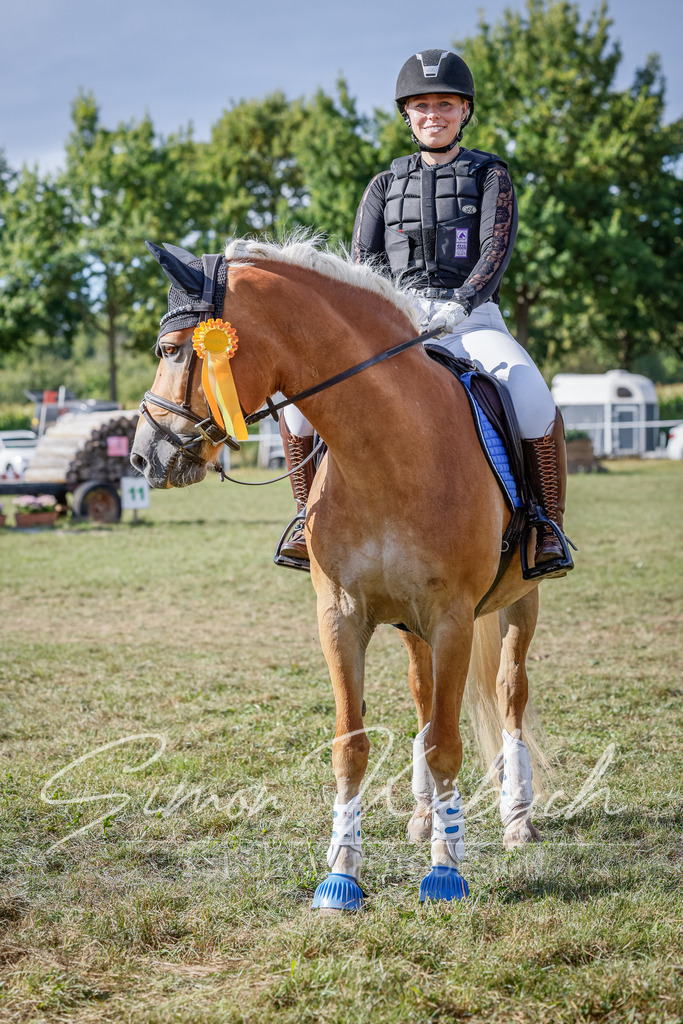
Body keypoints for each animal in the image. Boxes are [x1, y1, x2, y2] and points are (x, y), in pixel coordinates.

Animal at [131, 235, 547, 909]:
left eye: (171, 350)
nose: (145, 455)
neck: (388, 449)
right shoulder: (341, 615)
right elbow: (351, 744)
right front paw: (342, 875)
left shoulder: (454, 617)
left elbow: (447, 742)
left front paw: (446, 871)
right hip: (412, 627)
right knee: (424, 697)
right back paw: (424, 817)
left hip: (521, 599)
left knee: (510, 694)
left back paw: (516, 818)